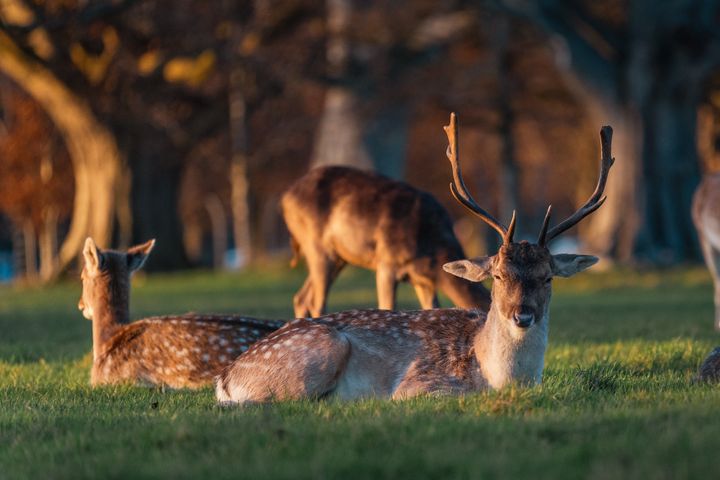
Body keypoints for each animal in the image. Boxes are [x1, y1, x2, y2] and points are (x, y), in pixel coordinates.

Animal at [280, 165, 490, 318]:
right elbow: (387, 306)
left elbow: (430, 308)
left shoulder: (423, 280)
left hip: (339, 257)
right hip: (317, 246)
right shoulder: (387, 263)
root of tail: (285, 198)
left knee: (302, 298)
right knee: (317, 302)